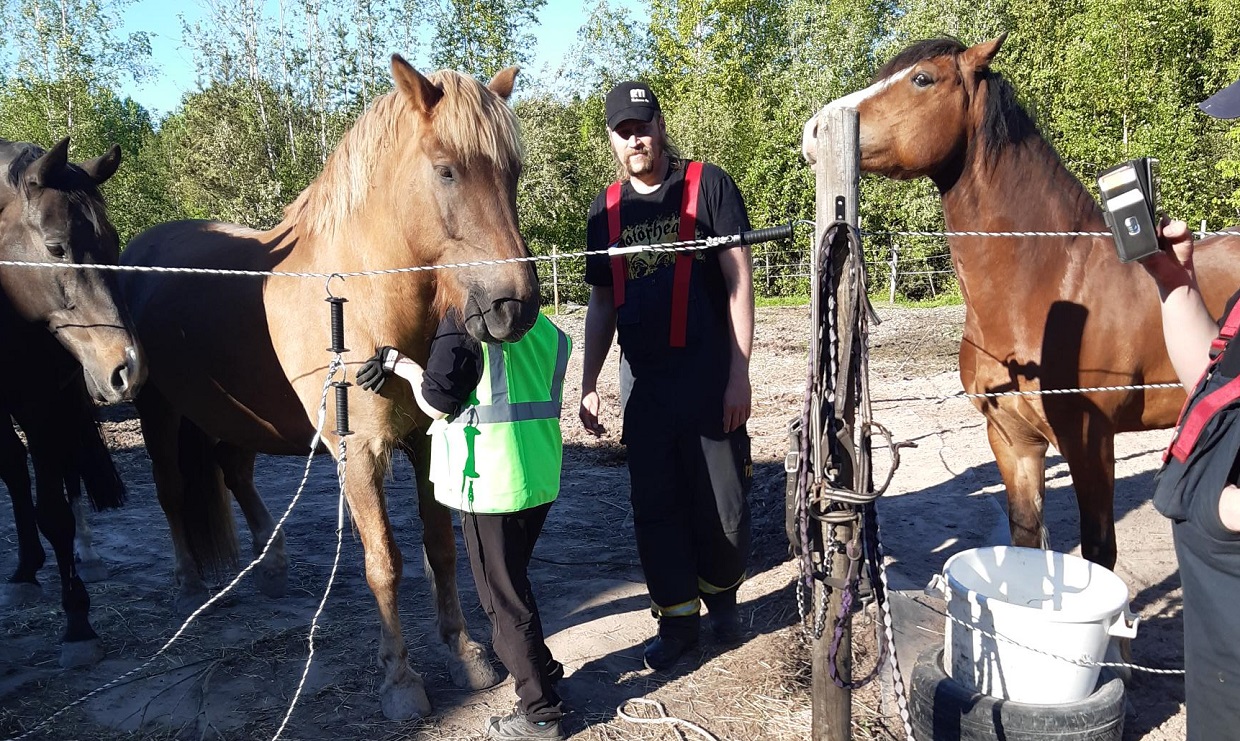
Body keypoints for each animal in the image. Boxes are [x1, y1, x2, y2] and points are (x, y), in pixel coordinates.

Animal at [0, 136, 145, 669]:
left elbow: (56, 513)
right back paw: (25, 569)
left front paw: (78, 623)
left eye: (113, 244)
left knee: (68, 474)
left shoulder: (43, 402)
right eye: (55, 247)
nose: (128, 367)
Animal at [119, 56, 538, 718]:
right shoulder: (358, 454)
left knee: (233, 474)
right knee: (172, 490)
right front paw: (399, 680)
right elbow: (384, 563)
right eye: (446, 170)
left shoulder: (424, 440)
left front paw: (464, 653)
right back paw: (189, 584)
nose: (512, 307)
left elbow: (440, 549)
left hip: (241, 420)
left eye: (512, 173)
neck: (358, 297)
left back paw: (271, 566)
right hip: (158, 413)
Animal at [798, 34, 1240, 570]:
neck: (1048, 289)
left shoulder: (1091, 444)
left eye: (922, 78)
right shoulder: (1012, 439)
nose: (814, 131)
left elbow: (1098, 553)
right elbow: (1026, 537)